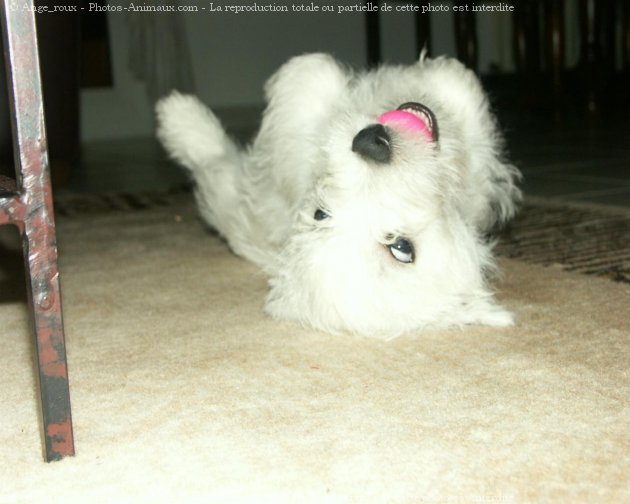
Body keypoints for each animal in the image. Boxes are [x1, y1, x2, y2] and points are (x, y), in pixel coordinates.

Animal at [156, 53, 520, 338]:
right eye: (322, 214)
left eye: (402, 248)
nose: (372, 143)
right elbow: (310, 80)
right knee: (216, 161)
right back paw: (176, 113)